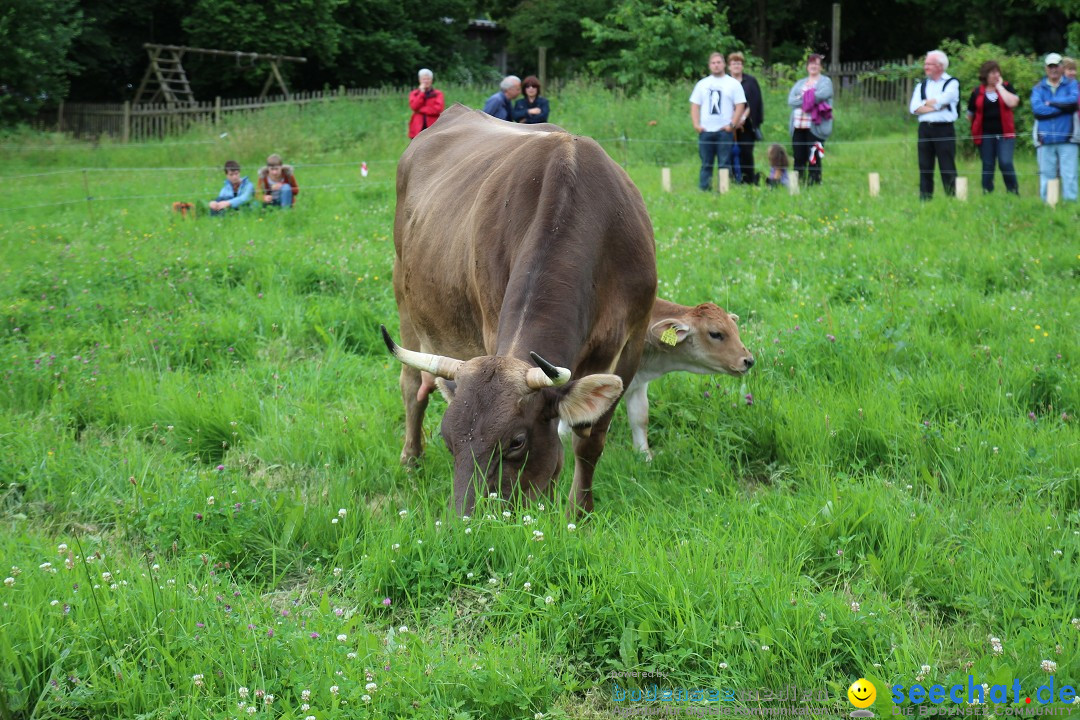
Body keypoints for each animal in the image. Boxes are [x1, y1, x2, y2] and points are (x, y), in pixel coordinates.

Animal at [384, 104, 652, 515]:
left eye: (516, 442)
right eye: (448, 440)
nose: (466, 520)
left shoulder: (632, 341)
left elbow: (588, 440)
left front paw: (579, 511)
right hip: (404, 294)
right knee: (413, 385)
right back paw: (411, 460)